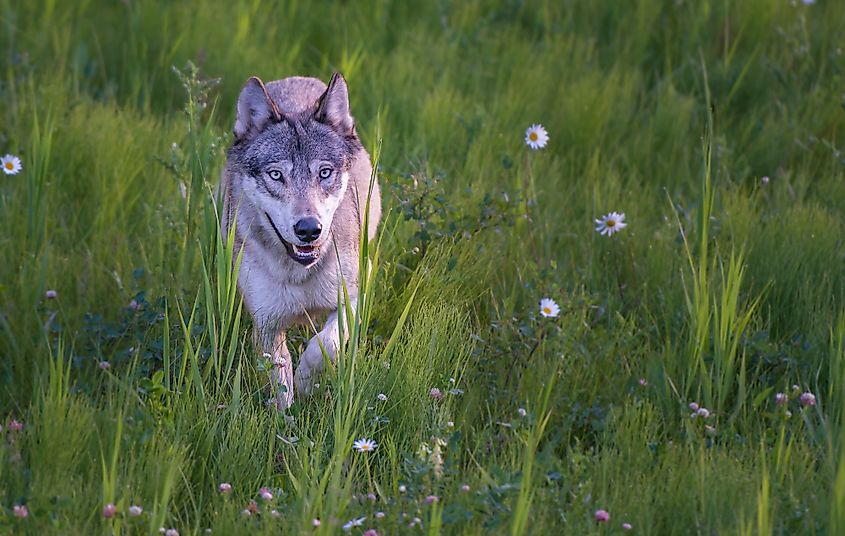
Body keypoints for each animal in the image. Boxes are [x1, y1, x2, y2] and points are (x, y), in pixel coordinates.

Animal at [218, 73, 380, 408]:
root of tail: (295, 79)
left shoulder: (356, 293)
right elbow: (280, 381)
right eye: (276, 175)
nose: (308, 229)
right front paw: (287, 416)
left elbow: (324, 346)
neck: (299, 274)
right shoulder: (266, 323)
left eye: (324, 173)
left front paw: (307, 382)